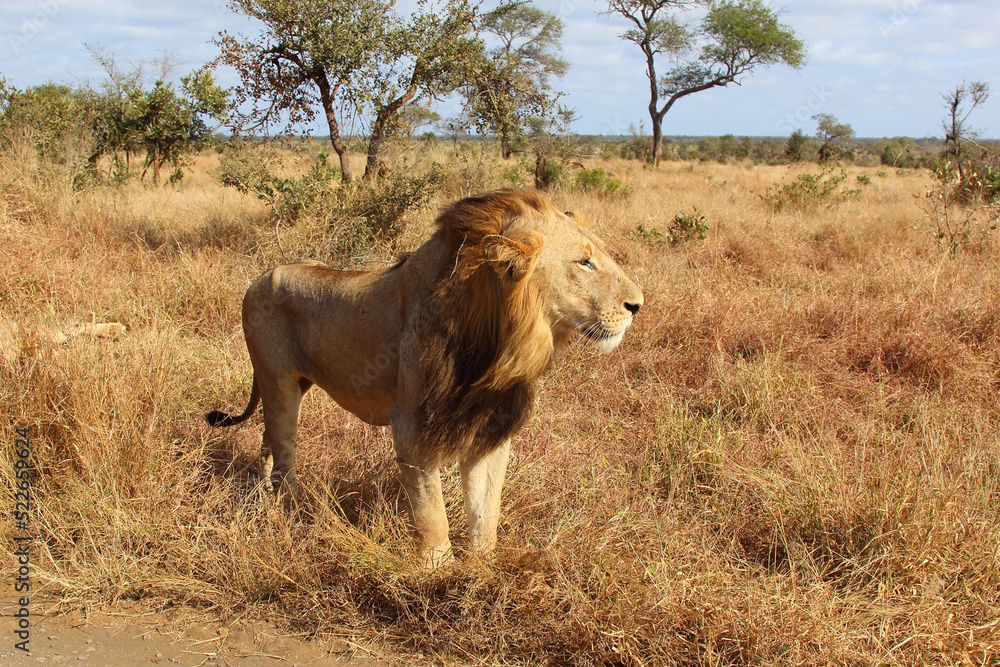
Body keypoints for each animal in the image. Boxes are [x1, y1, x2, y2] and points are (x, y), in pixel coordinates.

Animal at [206, 189, 643, 567]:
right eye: (584, 262)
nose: (637, 305)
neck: (499, 347)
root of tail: (259, 277)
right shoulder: (412, 428)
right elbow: (432, 513)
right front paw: (438, 572)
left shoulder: (489, 428)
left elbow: (486, 511)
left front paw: (483, 570)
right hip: (279, 385)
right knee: (284, 454)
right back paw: (291, 511)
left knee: (267, 442)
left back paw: (262, 492)